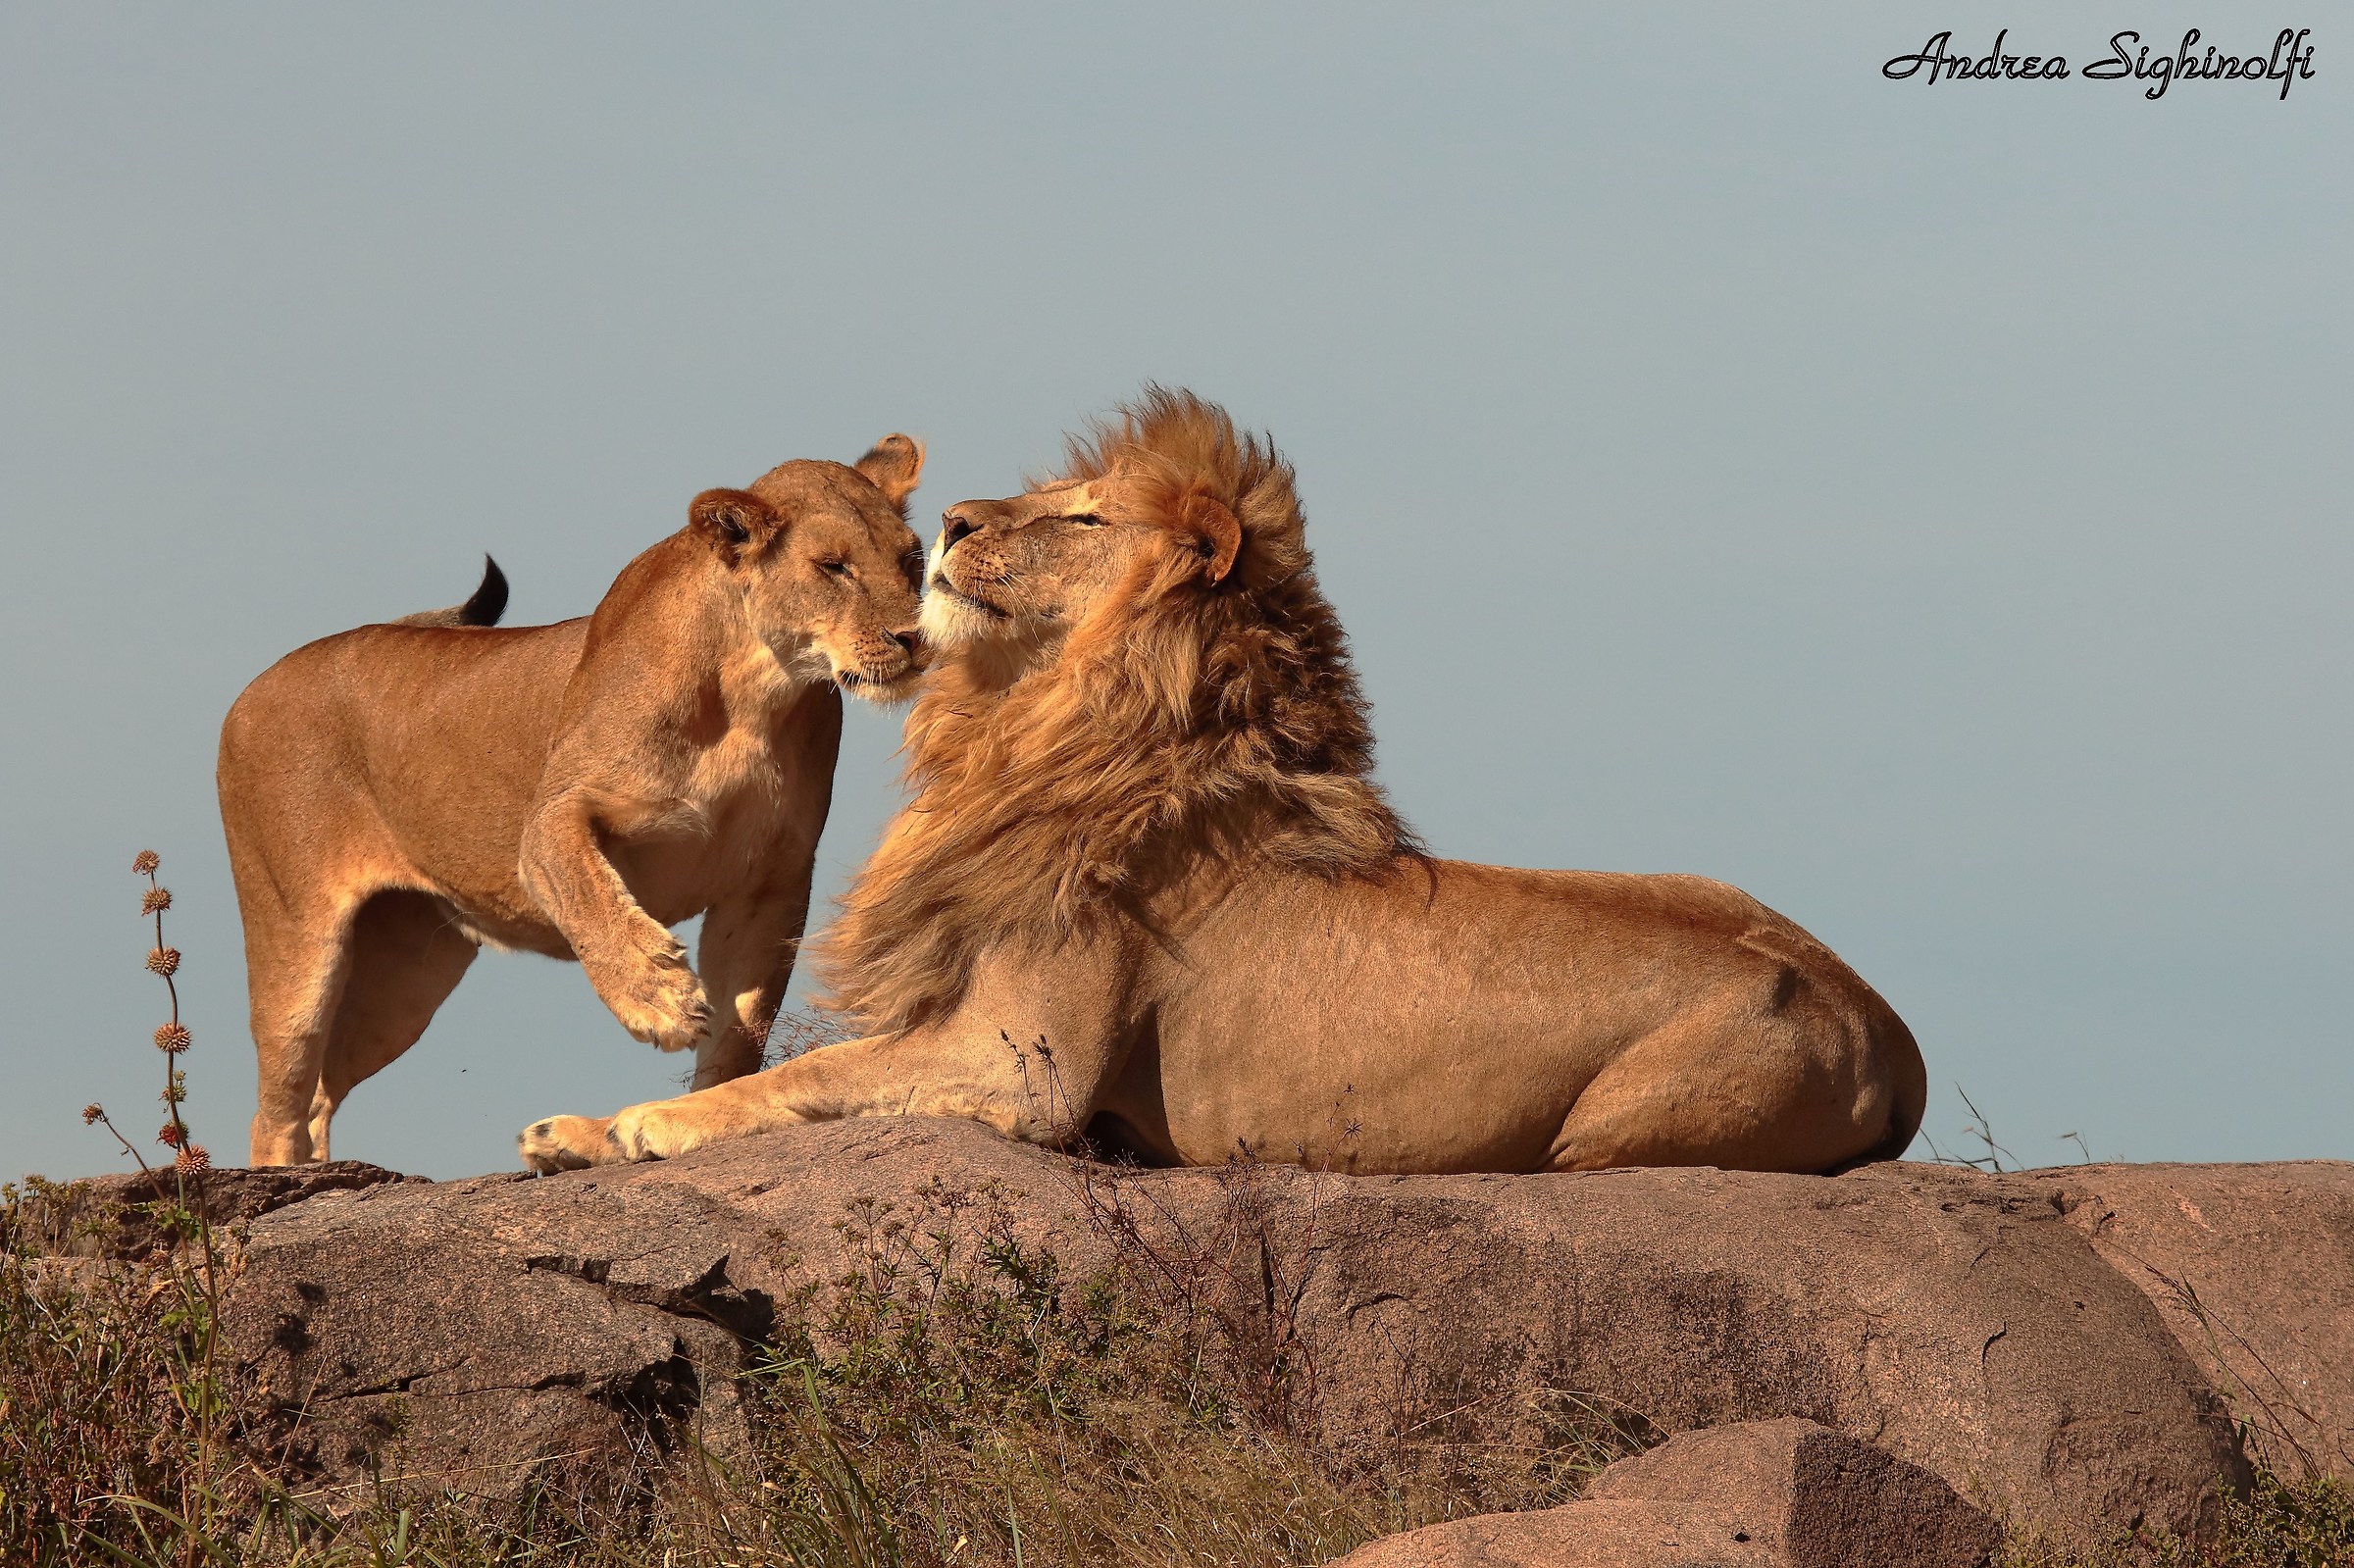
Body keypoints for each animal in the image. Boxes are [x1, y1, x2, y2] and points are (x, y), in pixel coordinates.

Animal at [222, 437, 927, 1166]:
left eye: (912, 559)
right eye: (833, 566)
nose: (915, 636)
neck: (755, 691)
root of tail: (259, 683)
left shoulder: (772, 877)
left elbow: (742, 1026)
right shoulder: (551, 818)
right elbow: (586, 890)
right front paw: (660, 998)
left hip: (404, 980)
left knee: (319, 1095)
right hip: (296, 937)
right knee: (279, 1101)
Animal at [518, 393, 1925, 1176]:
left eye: (1081, 517)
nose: (956, 522)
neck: (1026, 722)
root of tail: (1893, 1030)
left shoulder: (1021, 1070)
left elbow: (795, 1082)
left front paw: (643, 1126)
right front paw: (576, 1132)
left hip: (1618, 1127)